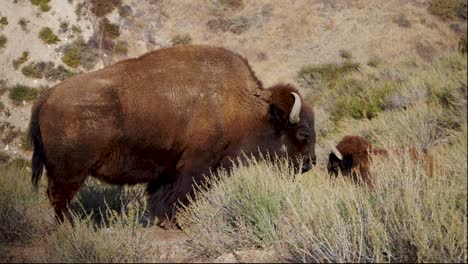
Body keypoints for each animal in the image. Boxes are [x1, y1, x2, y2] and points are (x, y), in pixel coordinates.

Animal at [28, 44, 314, 228]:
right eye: (302, 132)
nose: (310, 163)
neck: (241, 105)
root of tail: (46, 98)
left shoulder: (167, 169)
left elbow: (161, 198)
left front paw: (164, 223)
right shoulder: (198, 166)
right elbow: (182, 195)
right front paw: (176, 223)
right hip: (70, 171)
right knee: (59, 198)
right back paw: (70, 229)